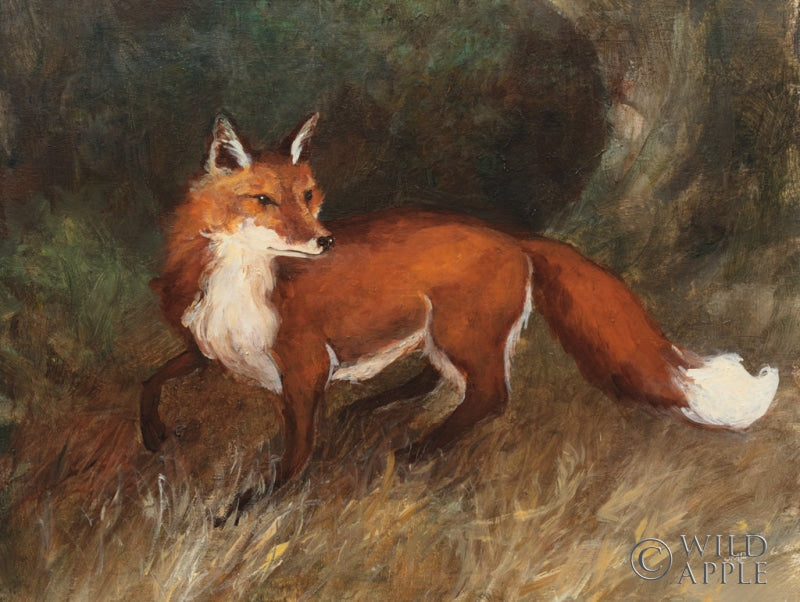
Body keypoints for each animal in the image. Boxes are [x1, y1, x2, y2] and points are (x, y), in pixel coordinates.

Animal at [141, 112, 779, 510]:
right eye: (263, 200)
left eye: (307, 196)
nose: (324, 241)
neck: (243, 284)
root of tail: (514, 237)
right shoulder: (209, 350)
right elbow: (152, 379)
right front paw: (153, 436)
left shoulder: (303, 369)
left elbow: (296, 453)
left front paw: (252, 506)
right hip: (441, 333)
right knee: (441, 381)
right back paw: (372, 411)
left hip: (460, 333)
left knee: (489, 396)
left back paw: (416, 451)